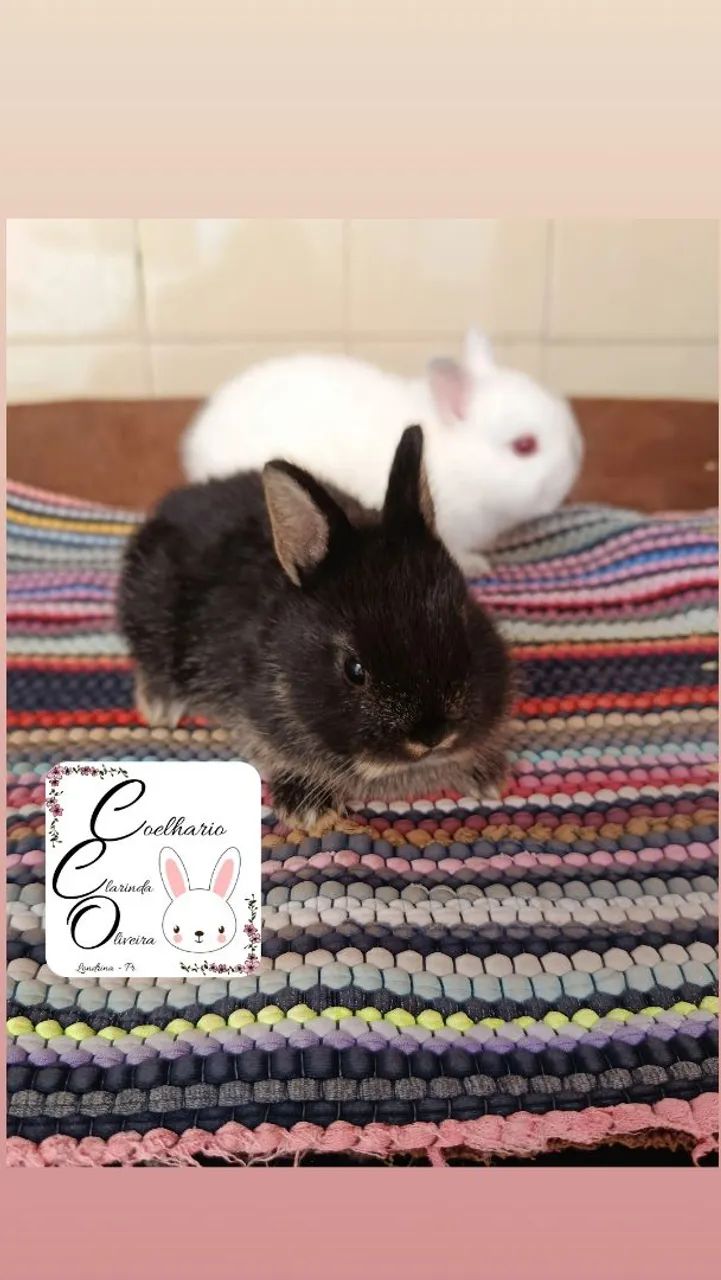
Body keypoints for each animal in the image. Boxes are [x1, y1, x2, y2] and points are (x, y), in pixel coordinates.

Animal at [118, 425, 512, 828]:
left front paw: (486, 777)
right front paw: (307, 808)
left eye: (464, 621)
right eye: (354, 670)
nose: (433, 736)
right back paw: (161, 705)